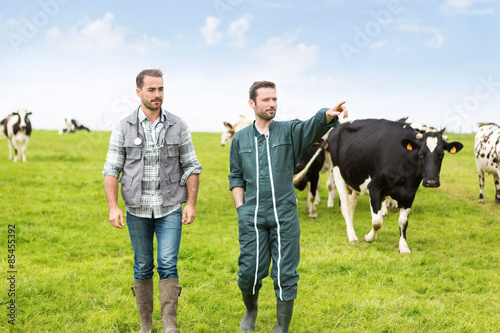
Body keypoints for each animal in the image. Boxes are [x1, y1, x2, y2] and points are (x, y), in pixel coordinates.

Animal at [328, 118, 464, 252]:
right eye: (420, 154)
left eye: (441, 155)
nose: (431, 182)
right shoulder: (374, 188)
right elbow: (377, 222)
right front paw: (368, 238)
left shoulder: (410, 193)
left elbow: (403, 222)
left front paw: (403, 247)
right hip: (338, 174)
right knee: (345, 207)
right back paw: (352, 237)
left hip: (355, 181)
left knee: (351, 206)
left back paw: (349, 230)